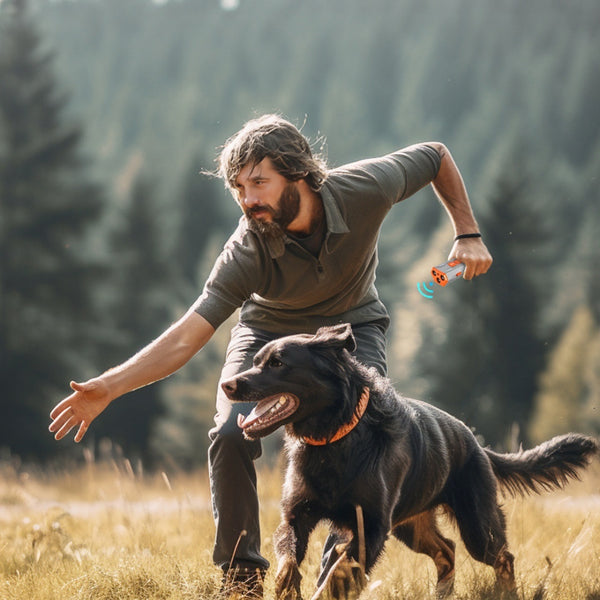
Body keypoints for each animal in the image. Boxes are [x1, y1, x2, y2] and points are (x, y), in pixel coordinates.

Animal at [221, 326, 600, 596]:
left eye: (278, 363)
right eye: (256, 361)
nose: (227, 385)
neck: (335, 437)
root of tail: (475, 443)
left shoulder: (373, 525)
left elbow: (343, 564)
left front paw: (333, 583)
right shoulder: (296, 515)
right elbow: (288, 555)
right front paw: (287, 586)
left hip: (477, 526)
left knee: (502, 557)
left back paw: (506, 594)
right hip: (412, 524)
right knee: (447, 550)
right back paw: (443, 592)